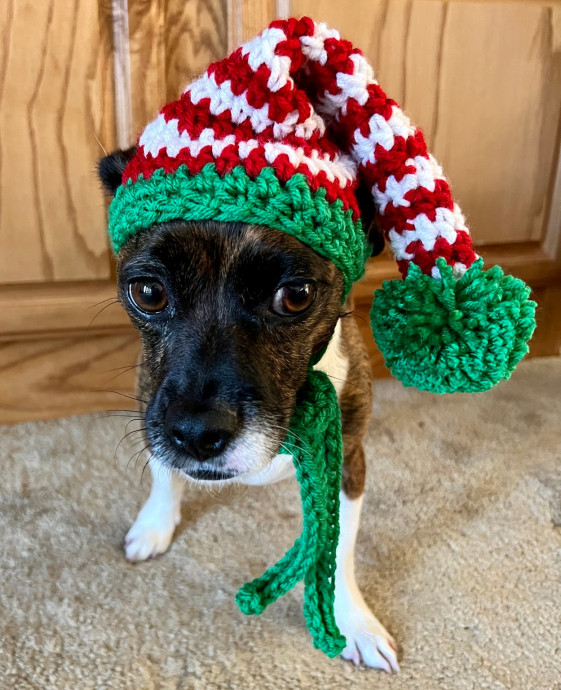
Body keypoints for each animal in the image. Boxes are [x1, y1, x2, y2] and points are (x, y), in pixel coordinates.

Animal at [98, 146, 400, 672]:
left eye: (296, 295)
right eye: (148, 292)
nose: (197, 432)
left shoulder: (348, 457)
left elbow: (338, 544)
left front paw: (354, 623)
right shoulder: (149, 406)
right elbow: (164, 474)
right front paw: (154, 526)